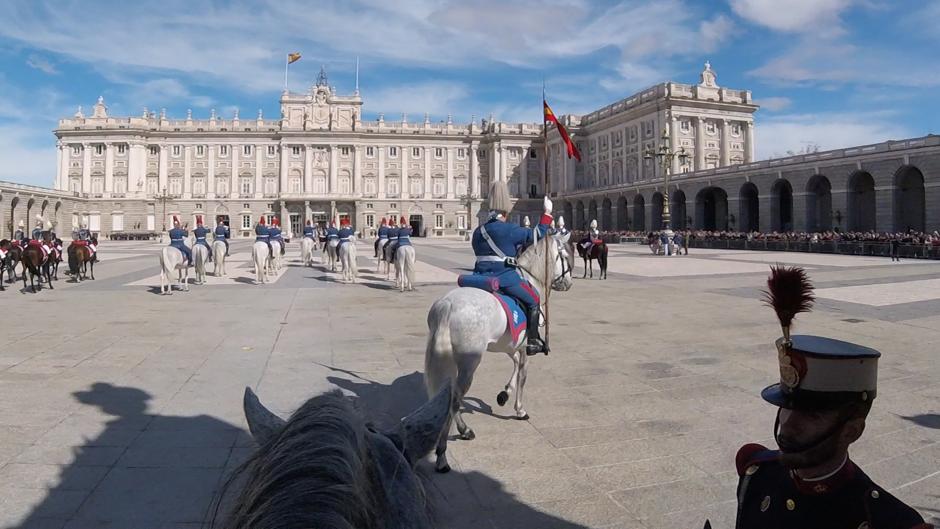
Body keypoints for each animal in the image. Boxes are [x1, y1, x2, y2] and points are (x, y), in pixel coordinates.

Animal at [426, 230, 572, 470]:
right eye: (566, 256)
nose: (568, 283)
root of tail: (447, 306)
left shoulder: (511, 344)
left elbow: (514, 365)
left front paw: (504, 393)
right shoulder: (525, 346)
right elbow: (523, 375)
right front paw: (520, 409)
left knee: (449, 396)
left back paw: (461, 432)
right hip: (469, 363)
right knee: (454, 399)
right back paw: (443, 453)